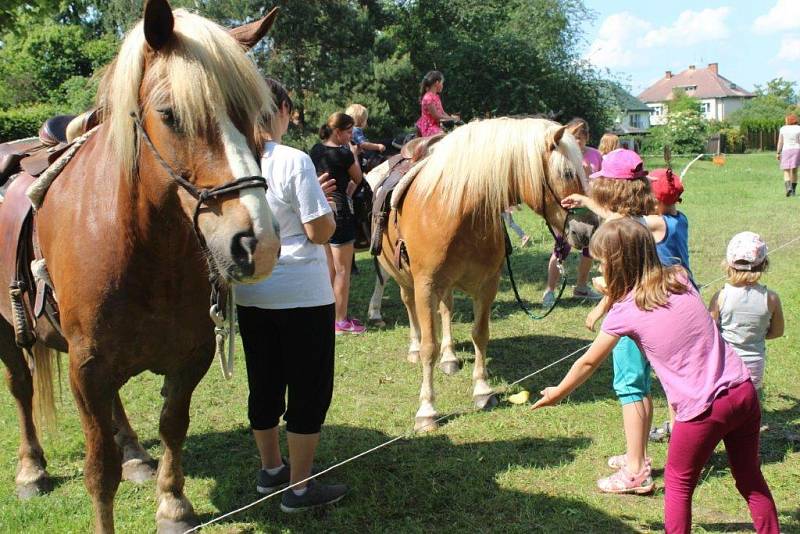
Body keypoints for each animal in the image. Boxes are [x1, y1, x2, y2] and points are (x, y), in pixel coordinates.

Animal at [0, 2, 282, 532]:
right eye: (170, 115)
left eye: (255, 116)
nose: (257, 243)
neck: (143, 249)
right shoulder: (88, 366)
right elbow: (98, 470)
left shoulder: (190, 355)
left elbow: (172, 426)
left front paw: (172, 503)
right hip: (10, 333)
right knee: (22, 389)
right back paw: (31, 469)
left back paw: (133, 453)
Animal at [378, 119, 596, 434]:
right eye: (567, 173)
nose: (588, 230)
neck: (457, 210)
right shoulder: (425, 285)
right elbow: (429, 347)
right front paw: (427, 410)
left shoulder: (487, 284)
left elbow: (480, 334)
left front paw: (482, 391)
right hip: (404, 278)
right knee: (410, 308)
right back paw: (414, 347)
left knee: (447, 310)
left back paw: (450, 357)